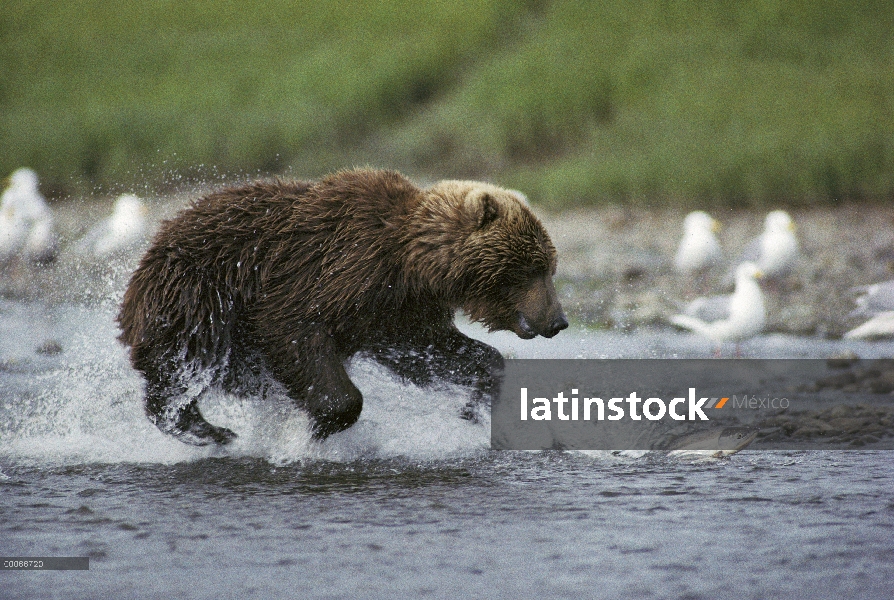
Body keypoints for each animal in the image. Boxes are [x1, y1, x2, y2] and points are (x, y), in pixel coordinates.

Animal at [119, 169, 568, 446]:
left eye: (550, 266)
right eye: (533, 267)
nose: (559, 320)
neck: (412, 263)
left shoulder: (394, 311)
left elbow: (431, 352)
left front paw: (472, 403)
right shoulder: (329, 269)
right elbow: (293, 329)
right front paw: (318, 427)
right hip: (198, 291)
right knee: (184, 361)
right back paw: (204, 428)